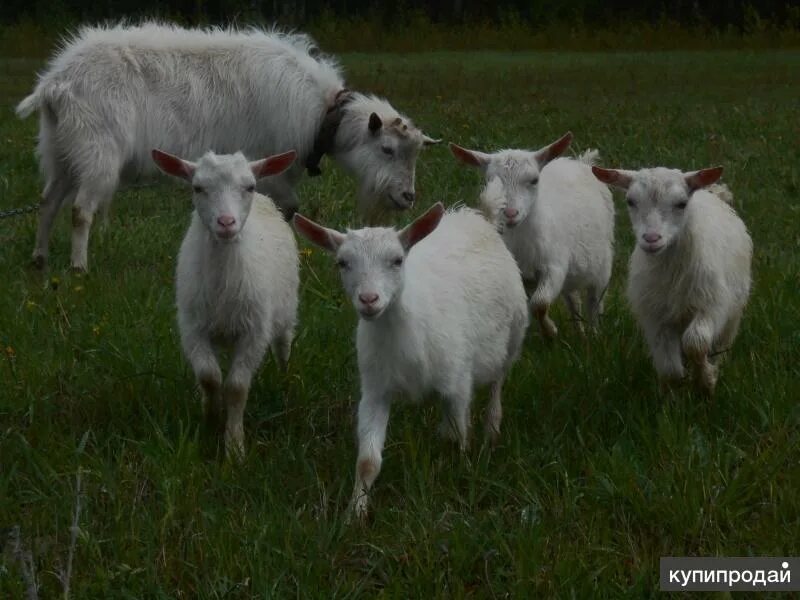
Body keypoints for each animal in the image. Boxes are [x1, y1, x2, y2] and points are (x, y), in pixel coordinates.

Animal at [17, 21, 438, 270]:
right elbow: (287, 210)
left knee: (48, 202)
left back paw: (39, 258)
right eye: (387, 149)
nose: (408, 197)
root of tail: (53, 85)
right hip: (96, 152)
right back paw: (78, 267)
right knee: (80, 210)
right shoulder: (274, 171)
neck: (322, 113)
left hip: (62, 150)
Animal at [152, 149, 298, 454]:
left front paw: (234, 445)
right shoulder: (193, 329)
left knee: (283, 346)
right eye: (198, 188)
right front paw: (211, 418)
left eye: (249, 187)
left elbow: (236, 387)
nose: (226, 223)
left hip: (286, 312)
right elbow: (209, 378)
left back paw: (284, 381)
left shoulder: (254, 332)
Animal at [290, 203, 528, 520]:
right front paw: (356, 512)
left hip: (513, 336)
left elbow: (460, 436)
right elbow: (367, 461)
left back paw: (492, 431)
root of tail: (473, 215)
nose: (369, 299)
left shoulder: (457, 383)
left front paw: (461, 475)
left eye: (397, 260)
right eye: (342, 262)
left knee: (496, 385)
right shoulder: (375, 391)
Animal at [450, 132, 612, 338]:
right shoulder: (523, 276)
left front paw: (550, 331)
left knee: (595, 301)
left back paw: (594, 334)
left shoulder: (554, 266)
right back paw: (581, 333)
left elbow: (539, 304)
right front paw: (547, 332)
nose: (510, 213)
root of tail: (581, 162)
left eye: (534, 180)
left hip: (603, 263)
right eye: (489, 181)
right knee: (574, 301)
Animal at [592, 164, 752, 394]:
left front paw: (706, 381)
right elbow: (670, 369)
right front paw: (674, 392)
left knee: (720, 345)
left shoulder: (712, 304)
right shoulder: (655, 315)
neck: (671, 270)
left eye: (681, 203)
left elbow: (696, 343)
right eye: (631, 201)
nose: (651, 239)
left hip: (732, 314)